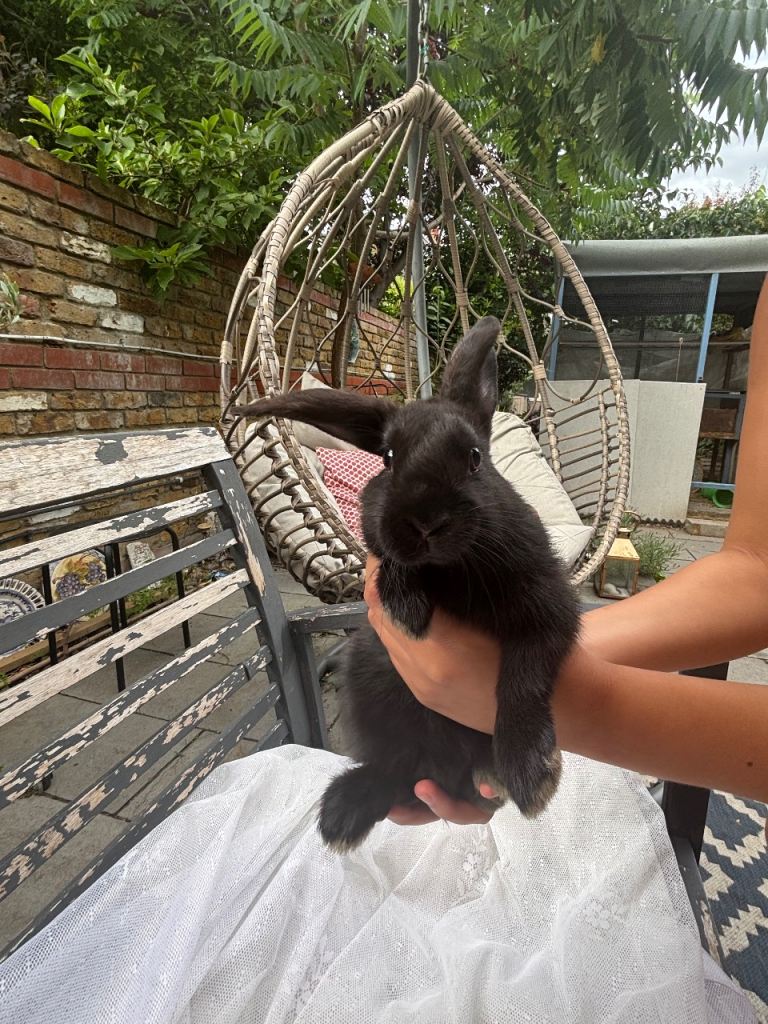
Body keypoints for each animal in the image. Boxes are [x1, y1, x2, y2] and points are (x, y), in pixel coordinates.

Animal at [238, 316, 580, 852]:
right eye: (389, 459)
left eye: (475, 458)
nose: (424, 522)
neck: (449, 568)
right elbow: (388, 560)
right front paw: (405, 605)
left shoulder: (547, 612)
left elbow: (522, 680)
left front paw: (530, 774)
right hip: (370, 681)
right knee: (395, 769)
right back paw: (345, 811)